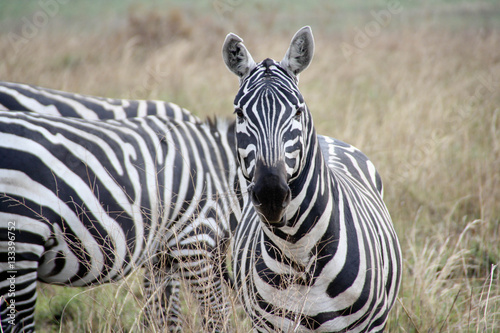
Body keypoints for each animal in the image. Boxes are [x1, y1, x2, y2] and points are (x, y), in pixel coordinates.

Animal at [0, 107, 242, 330]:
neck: (223, 171)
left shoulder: (162, 258)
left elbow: (162, 316)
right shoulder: (194, 243)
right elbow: (217, 315)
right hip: (21, 242)